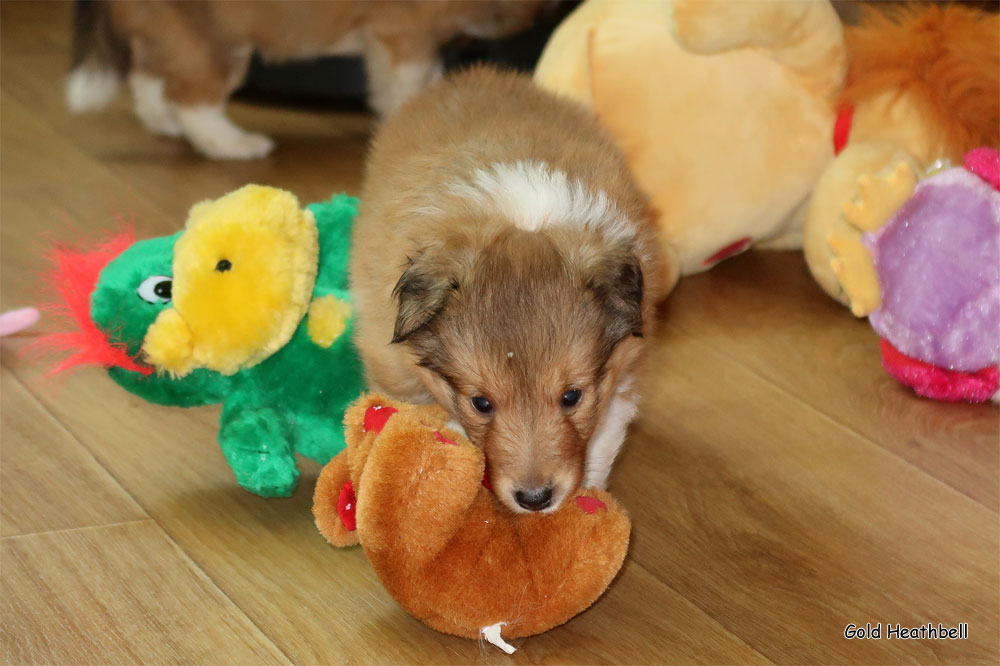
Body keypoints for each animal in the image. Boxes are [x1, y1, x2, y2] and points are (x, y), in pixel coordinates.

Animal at [66, 0, 544, 159]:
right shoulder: (405, 33)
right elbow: (406, 82)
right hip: (213, 42)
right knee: (194, 98)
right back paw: (234, 145)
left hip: (169, 35)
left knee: (148, 76)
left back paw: (164, 124)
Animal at [348, 66, 676, 512]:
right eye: (481, 403)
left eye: (572, 397)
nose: (535, 499)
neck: (522, 219)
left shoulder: (625, 372)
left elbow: (603, 438)